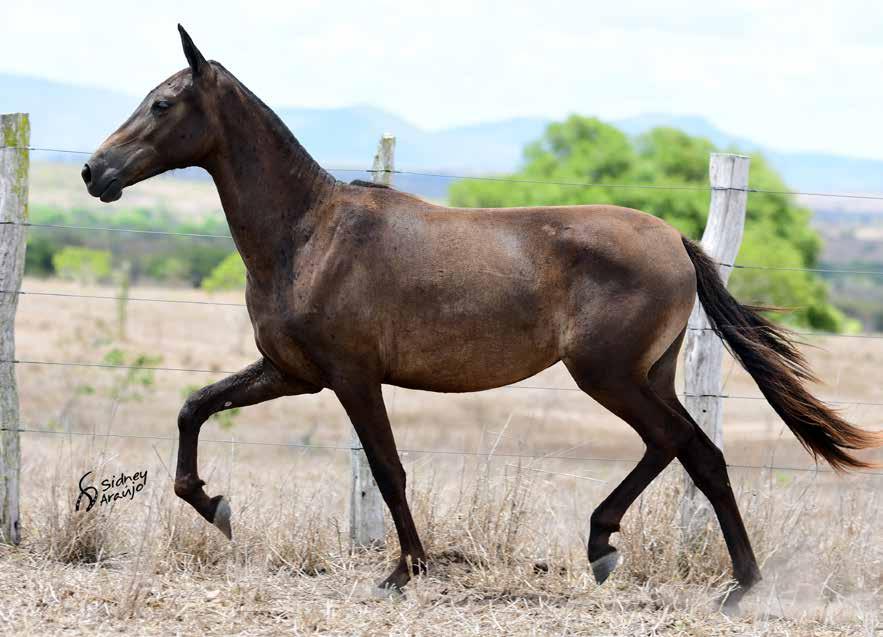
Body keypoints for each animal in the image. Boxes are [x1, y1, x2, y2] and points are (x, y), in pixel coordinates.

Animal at [81, 26, 876, 600]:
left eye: (161, 104)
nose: (94, 172)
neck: (308, 233)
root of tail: (676, 240)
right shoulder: (292, 372)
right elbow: (193, 407)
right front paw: (214, 505)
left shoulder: (351, 375)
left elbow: (388, 466)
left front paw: (405, 570)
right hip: (645, 374)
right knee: (689, 450)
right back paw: (667, 563)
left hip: (607, 374)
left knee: (683, 445)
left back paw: (692, 572)